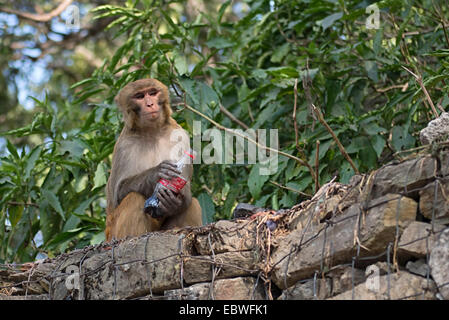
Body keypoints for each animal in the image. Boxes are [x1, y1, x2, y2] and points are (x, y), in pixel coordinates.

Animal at [104, 79, 202, 241]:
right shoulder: (124, 146)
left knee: (192, 204)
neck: (152, 132)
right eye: (139, 96)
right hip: (112, 233)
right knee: (134, 198)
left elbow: (186, 195)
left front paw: (173, 201)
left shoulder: (181, 136)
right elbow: (117, 193)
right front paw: (156, 173)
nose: (150, 104)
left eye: (152, 93)